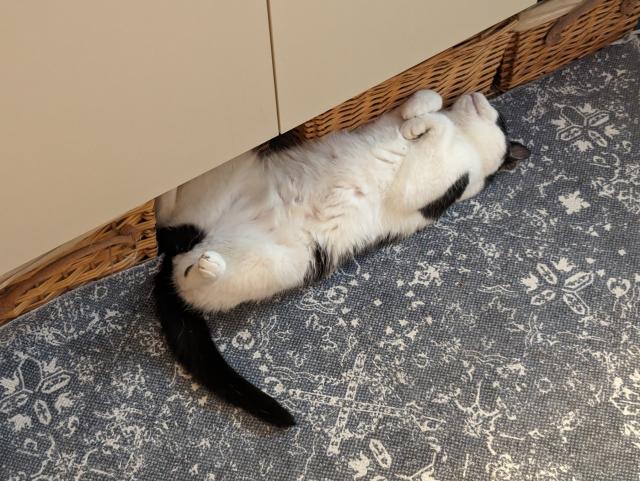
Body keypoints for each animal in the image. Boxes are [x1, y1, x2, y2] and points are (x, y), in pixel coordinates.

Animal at [152, 90, 528, 428]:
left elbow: (438, 129)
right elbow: (428, 98)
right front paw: (418, 115)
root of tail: (199, 239)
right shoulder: (393, 121)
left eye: (500, 118)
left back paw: (205, 264)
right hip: (227, 172)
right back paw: (163, 191)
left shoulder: (424, 186)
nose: (477, 92)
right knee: (169, 221)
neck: (465, 137)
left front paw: (418, 126)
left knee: (188, 278)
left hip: (280, 263)